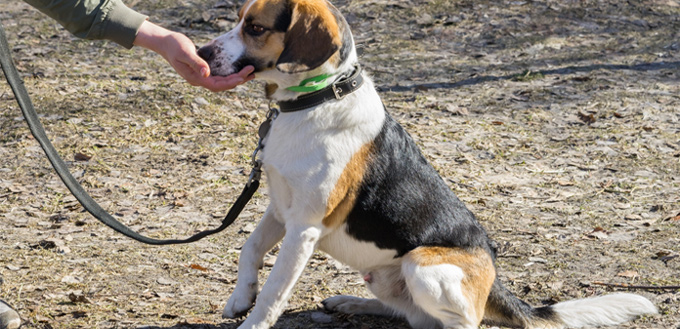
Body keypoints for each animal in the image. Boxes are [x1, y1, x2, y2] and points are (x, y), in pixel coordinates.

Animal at [198, 0, 660, 328]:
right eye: (238, 19)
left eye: (255, 28)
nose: (200, 51)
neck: (318, 98)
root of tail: (494, 277)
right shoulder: (279, 207)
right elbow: (250, 248)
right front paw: (240, 298)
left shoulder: (304, 227)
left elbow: (274, 293)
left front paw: (253, 318)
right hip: (387, 276)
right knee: (412, 315)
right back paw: (350, 301)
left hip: (422, 265)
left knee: (464, 322)